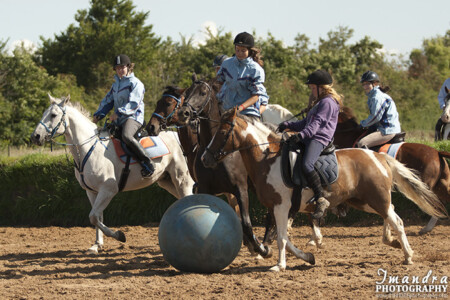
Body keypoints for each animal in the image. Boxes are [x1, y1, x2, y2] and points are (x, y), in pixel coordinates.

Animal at [30, 94, 194, 253]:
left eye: (53, 115)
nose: (35, 136)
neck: (89, 148)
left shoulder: (108, 190)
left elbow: (93, 217)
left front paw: (119, 235)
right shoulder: (92, 191)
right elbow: (97, 217)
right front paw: (96, 245)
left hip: (181, 180)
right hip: (167, 181)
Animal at [149, 78, 272, 258]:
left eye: (169, 103)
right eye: (187, 94)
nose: (151, 126)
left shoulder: (240, 188)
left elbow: (246, 222)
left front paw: (260, 248)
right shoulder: (206, 188)